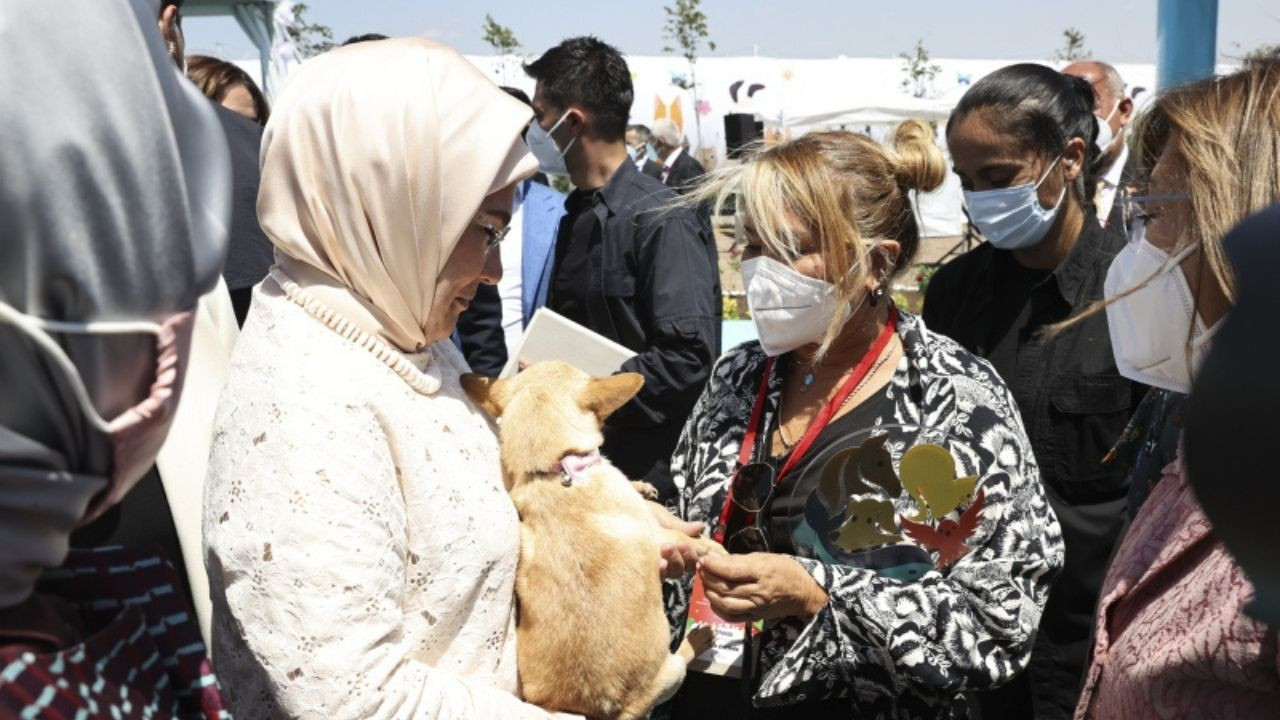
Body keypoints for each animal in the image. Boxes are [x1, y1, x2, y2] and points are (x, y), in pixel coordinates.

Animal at [460, 361, 721, 717]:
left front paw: (641, 485)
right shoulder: (655, 532)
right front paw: (715, 547)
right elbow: (695, 542)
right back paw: (697, 641)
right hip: (670, 675)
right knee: (680, 661)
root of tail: (607, 708)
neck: (554, 471)